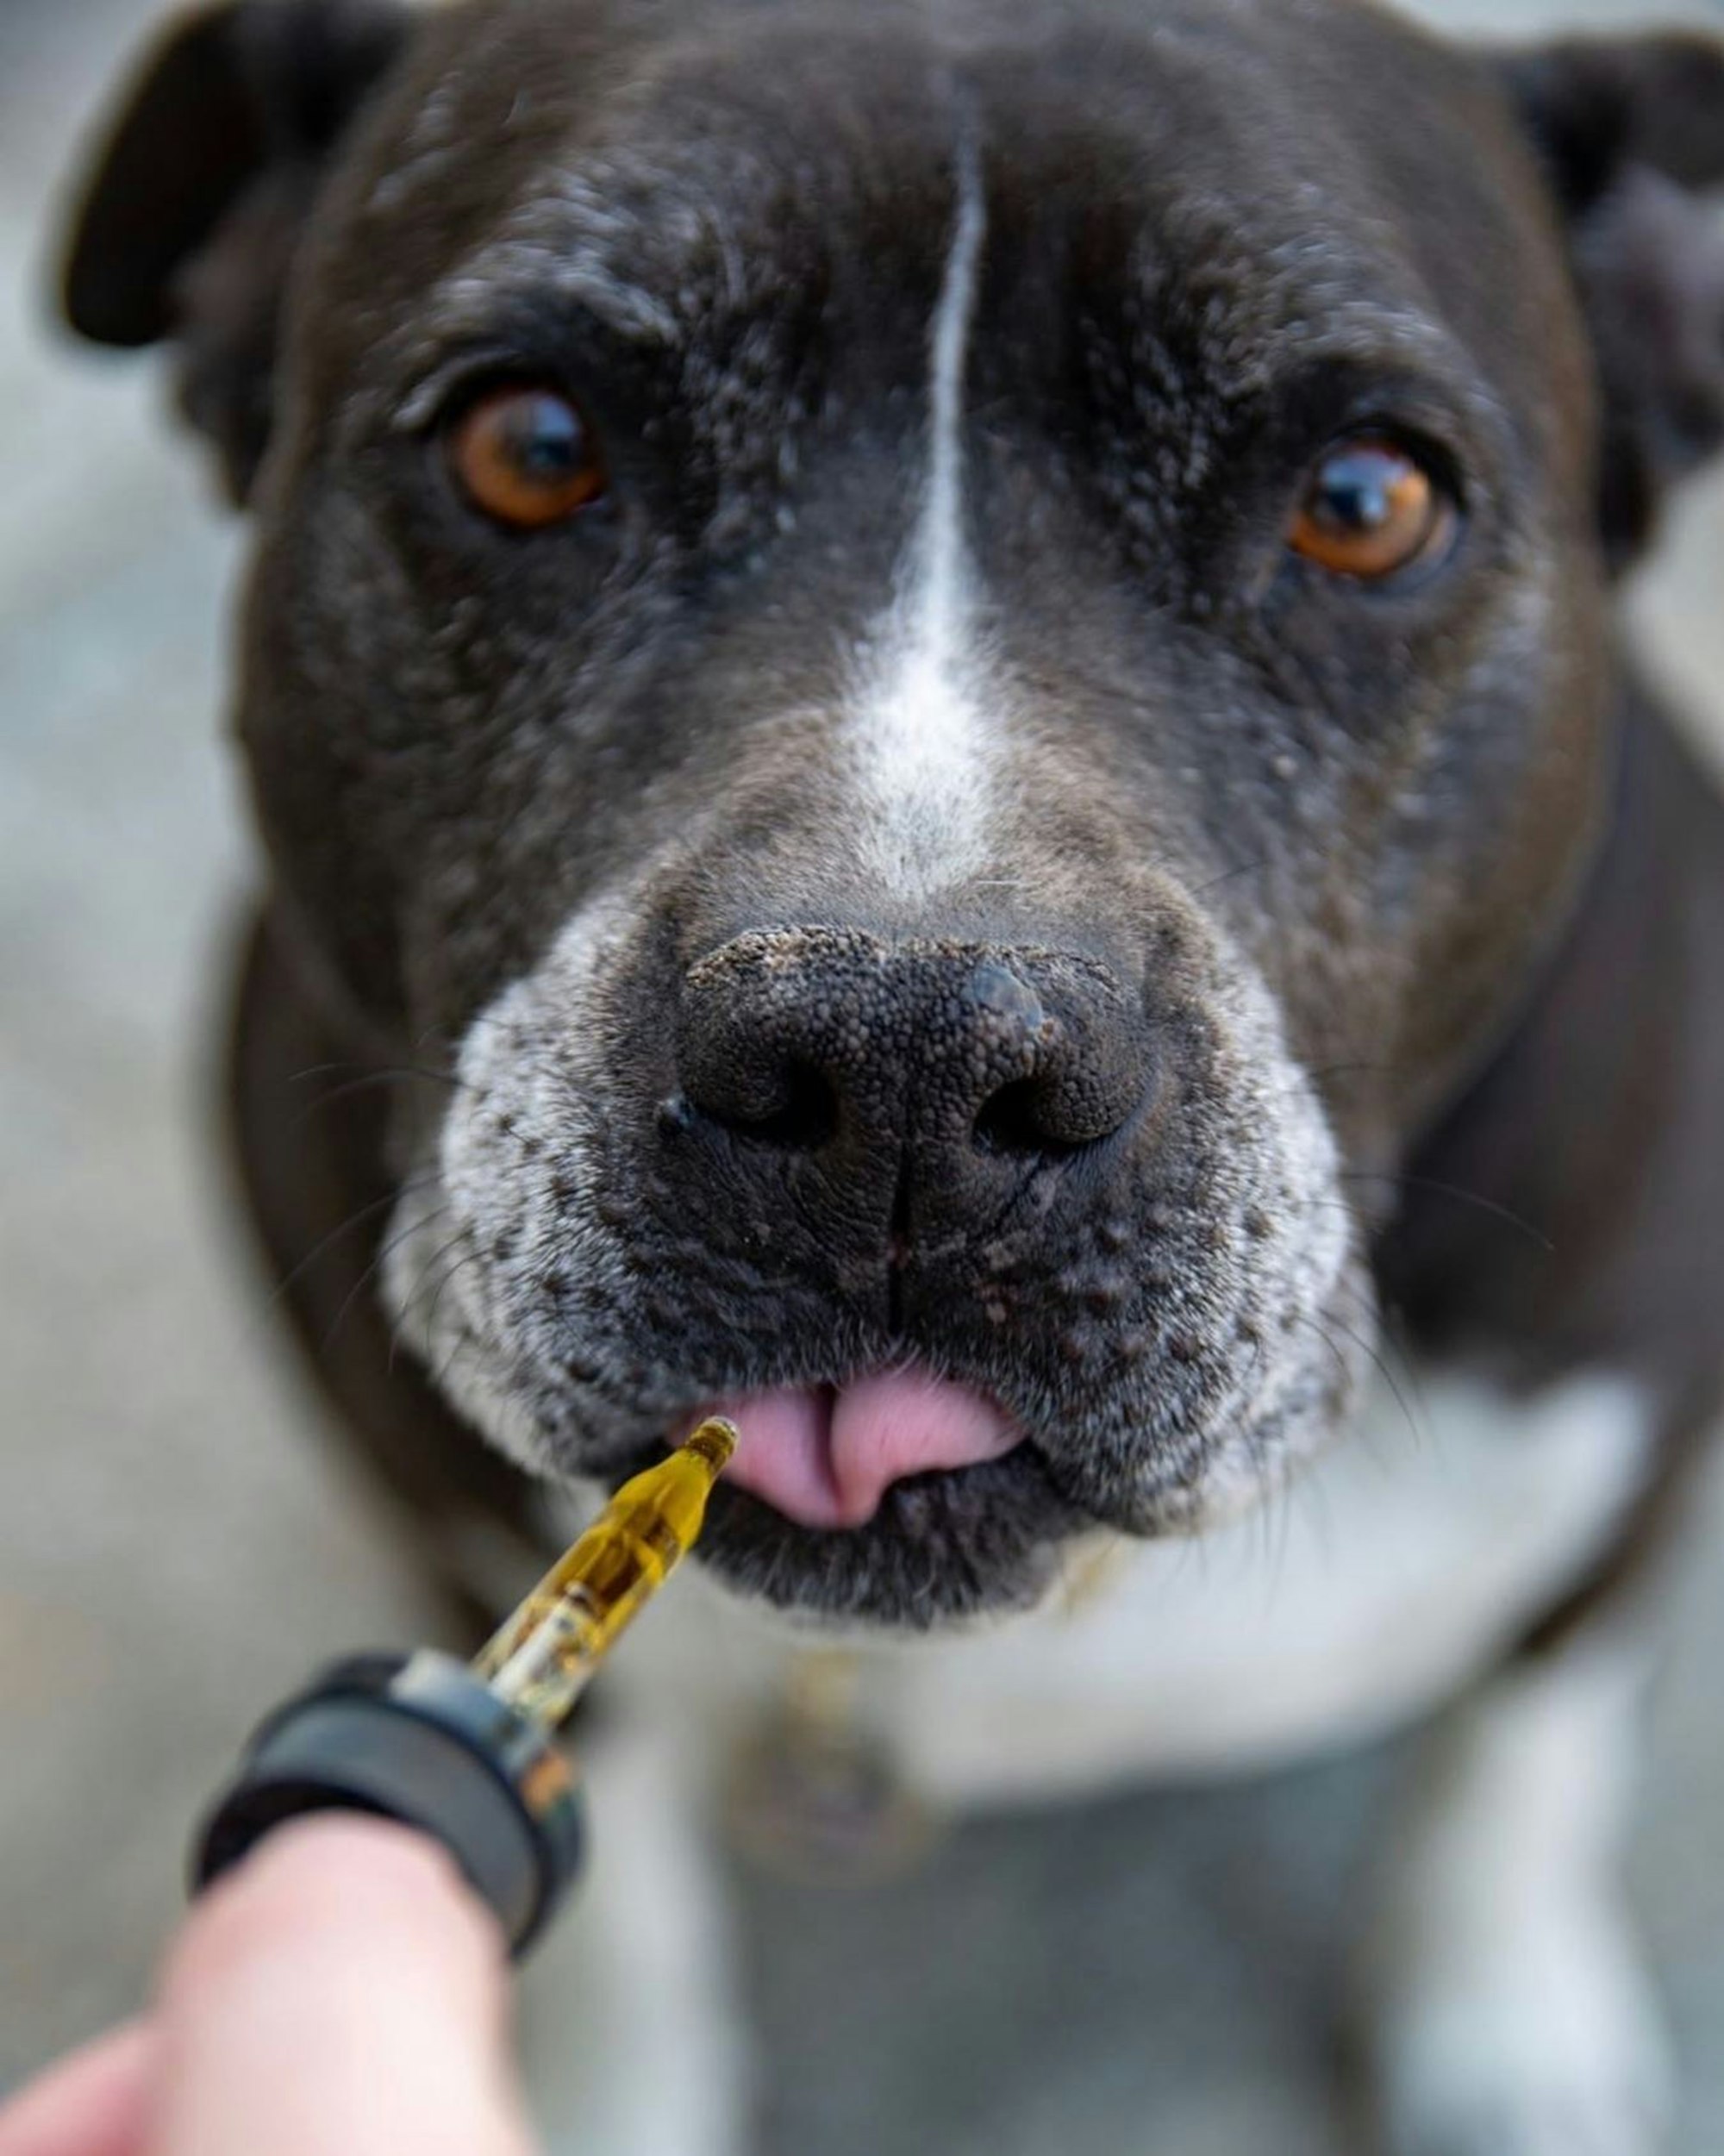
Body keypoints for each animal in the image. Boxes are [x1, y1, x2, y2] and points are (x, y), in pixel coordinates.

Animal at [53, 3, 1724, 2138]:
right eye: (531, 449)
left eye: (1363, 498)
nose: (905, 1058)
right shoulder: (454, 1549)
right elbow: (622, 1893)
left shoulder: (1632, 1459)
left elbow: (1526, 1741)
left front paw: (1503, 2021)